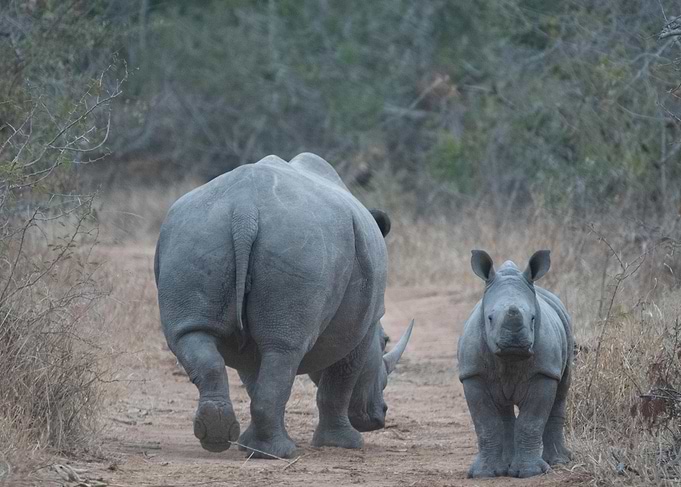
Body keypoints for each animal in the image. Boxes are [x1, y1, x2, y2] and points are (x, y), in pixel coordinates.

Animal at [154, 152, 413, 459]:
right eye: (385, 341)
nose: (379, 417)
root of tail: (244, 211)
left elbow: (255, 377)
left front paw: (246, 442)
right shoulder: (365, 323)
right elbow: (340, 379)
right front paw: (344, 443)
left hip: (195, 235)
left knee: (193, 336)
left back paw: (221, 437)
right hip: (300, 246)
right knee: (285, 348)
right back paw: (278, 453)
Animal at [457, 250, 573, 478]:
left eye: (533, 318)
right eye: (490, 318)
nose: (514, 343)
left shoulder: (544, 372)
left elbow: (531, 422)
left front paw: (530, 472)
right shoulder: (472, 374)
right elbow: (486, 424)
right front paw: (483, 474)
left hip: (566, 330)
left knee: (562, 391)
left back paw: (558, 462)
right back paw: (505, 465)